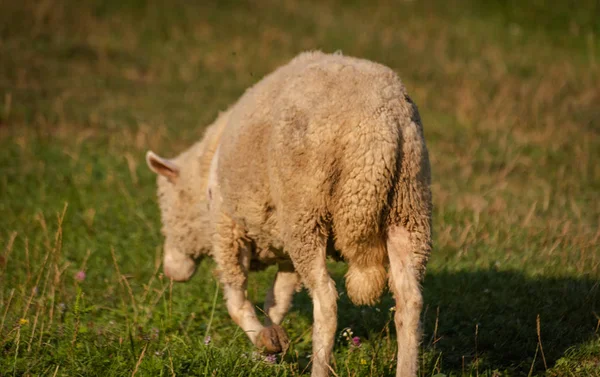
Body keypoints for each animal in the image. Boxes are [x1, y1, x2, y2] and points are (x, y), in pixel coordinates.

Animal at [145, 50, 432, 376]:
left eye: (166, 207)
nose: (170, 271)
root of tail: (377, 131)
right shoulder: (283, 249)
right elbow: (277, 301)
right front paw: (270, 344)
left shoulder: (228, 229)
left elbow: (236, 300)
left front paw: (263, 341)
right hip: (408, 210)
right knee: (409, 301)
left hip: (305, 214)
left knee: (326, 301)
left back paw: (319, 367)